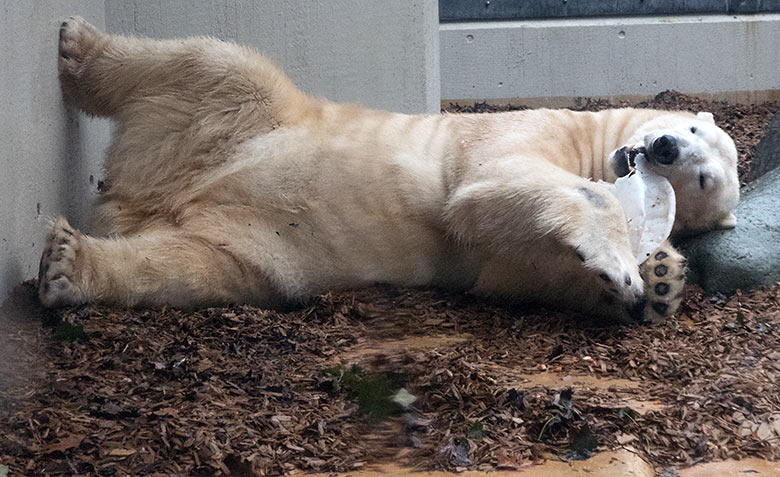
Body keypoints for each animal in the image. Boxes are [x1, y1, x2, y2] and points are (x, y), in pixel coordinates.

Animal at [39, 17, 740, 324]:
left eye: (705, 180)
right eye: (694, 132)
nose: (664, 149)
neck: (594, 146)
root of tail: (145, 191)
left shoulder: (500, 253)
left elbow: (504, 264)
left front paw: (657, 279)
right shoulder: (533, 126)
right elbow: (491, 181)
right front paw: (628, 263)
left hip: (258, 248)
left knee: (194, 268)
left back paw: (70, 265)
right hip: (238, 118)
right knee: (212, 65)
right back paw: (77, 45)